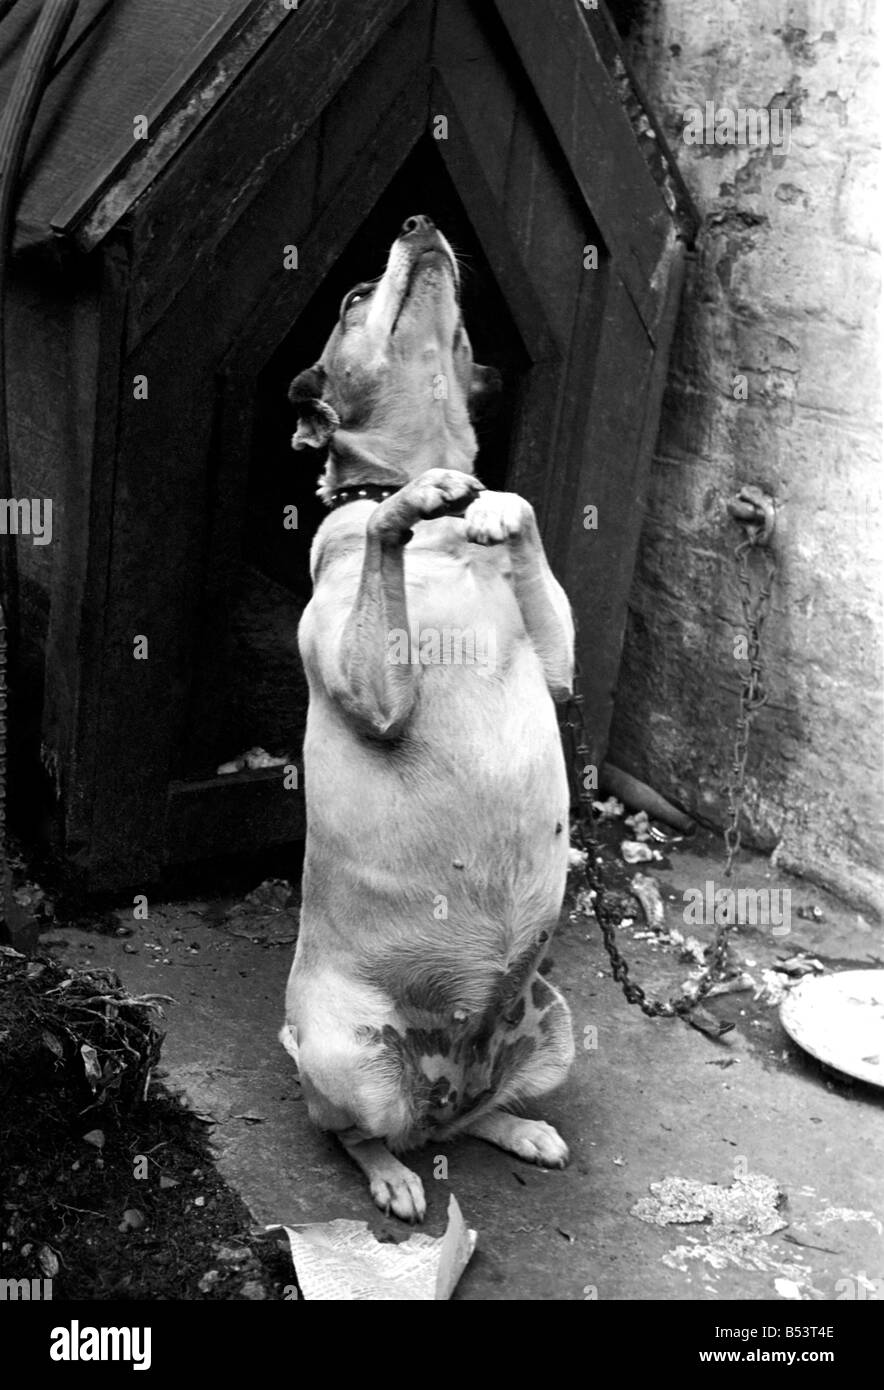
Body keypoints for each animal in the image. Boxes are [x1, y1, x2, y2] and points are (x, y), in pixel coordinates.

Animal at [279, 211, 575, 1223]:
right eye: (352, 299)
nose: (419, 220)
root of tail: (438, 1092)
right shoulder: (378, 692)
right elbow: (382, 524)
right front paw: (414, 499)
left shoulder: (560, 671)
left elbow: (518, 515)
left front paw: (493, 508)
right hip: (347, 1060)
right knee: (353, 1132)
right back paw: (395, 1177)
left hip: (555, 1025)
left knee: (478, 1116)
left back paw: (517, 1128)